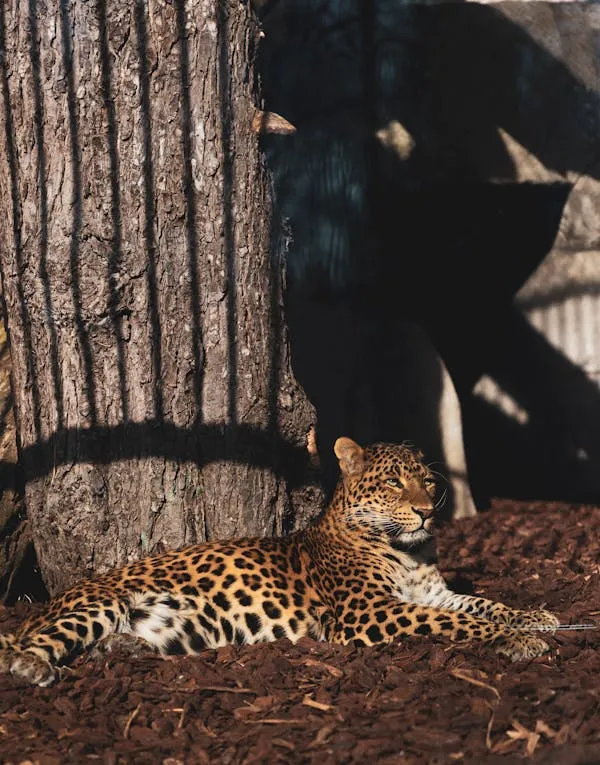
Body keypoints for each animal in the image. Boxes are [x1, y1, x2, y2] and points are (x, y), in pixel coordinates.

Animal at [0, 436, 559, 686]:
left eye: (426, 479)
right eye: (394, 482)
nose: (427, 510)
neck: (409, 552)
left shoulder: (434, 592)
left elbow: (480, 606)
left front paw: (536, 617)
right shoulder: (367, 613)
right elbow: (452, 624)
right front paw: (518, 640)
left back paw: (118, 650)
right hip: (97, 604)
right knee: (33, 644)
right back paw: (32, 666)